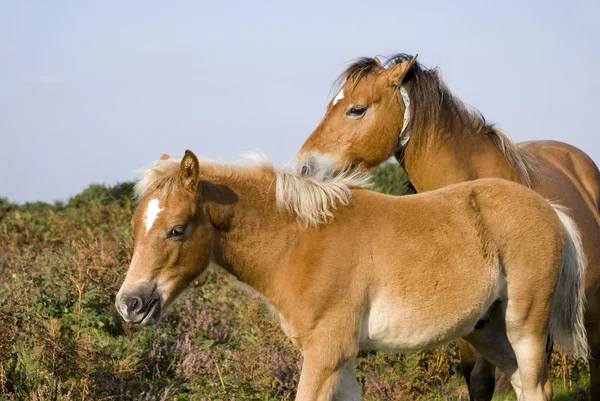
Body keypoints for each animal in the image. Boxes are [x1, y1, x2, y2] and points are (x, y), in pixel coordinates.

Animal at [117, 150, 584, 400]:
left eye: (177, 229)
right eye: (136, 226)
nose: (130, 303)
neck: (301, 242)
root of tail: (550, 209)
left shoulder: (326, 353)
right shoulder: (339, 361)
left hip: (525, 326)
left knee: (535, 384)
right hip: (485, 330)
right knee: (524, 384)